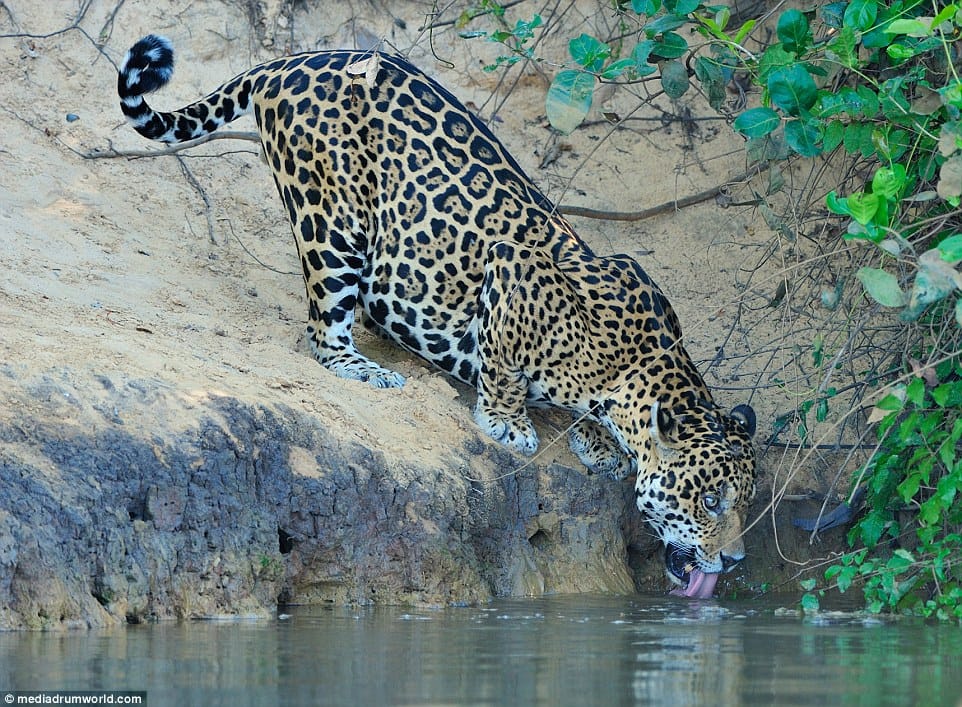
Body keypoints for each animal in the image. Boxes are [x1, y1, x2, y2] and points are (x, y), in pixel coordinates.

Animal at [117, 35, 758, 596]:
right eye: (709, 501)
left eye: (746, 503)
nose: (733, 559)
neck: (632, 366)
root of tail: (294, 60)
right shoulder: (511, 268)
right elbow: (502, 364)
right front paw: (508, 421)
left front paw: (594, 439)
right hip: (331, 221)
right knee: (323, 333)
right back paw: (368, 368)